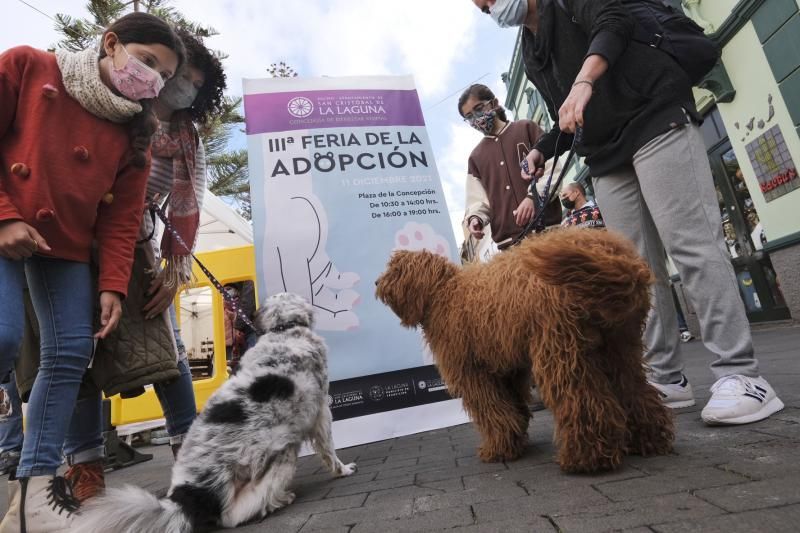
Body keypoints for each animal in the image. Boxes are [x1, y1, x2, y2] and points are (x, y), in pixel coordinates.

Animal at [376, 227, 676, 472]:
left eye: (394, 270)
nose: (376, 284)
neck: (444, 293)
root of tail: (609, 253)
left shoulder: (473, 373)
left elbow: (493, 410)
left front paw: (498, 449)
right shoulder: (507, 369)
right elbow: (512, 408)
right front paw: (514, 440)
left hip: (559, 350)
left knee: (582, 401)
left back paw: (585, 459)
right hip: (621, 346)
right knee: (636, 391)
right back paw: (649, 441)